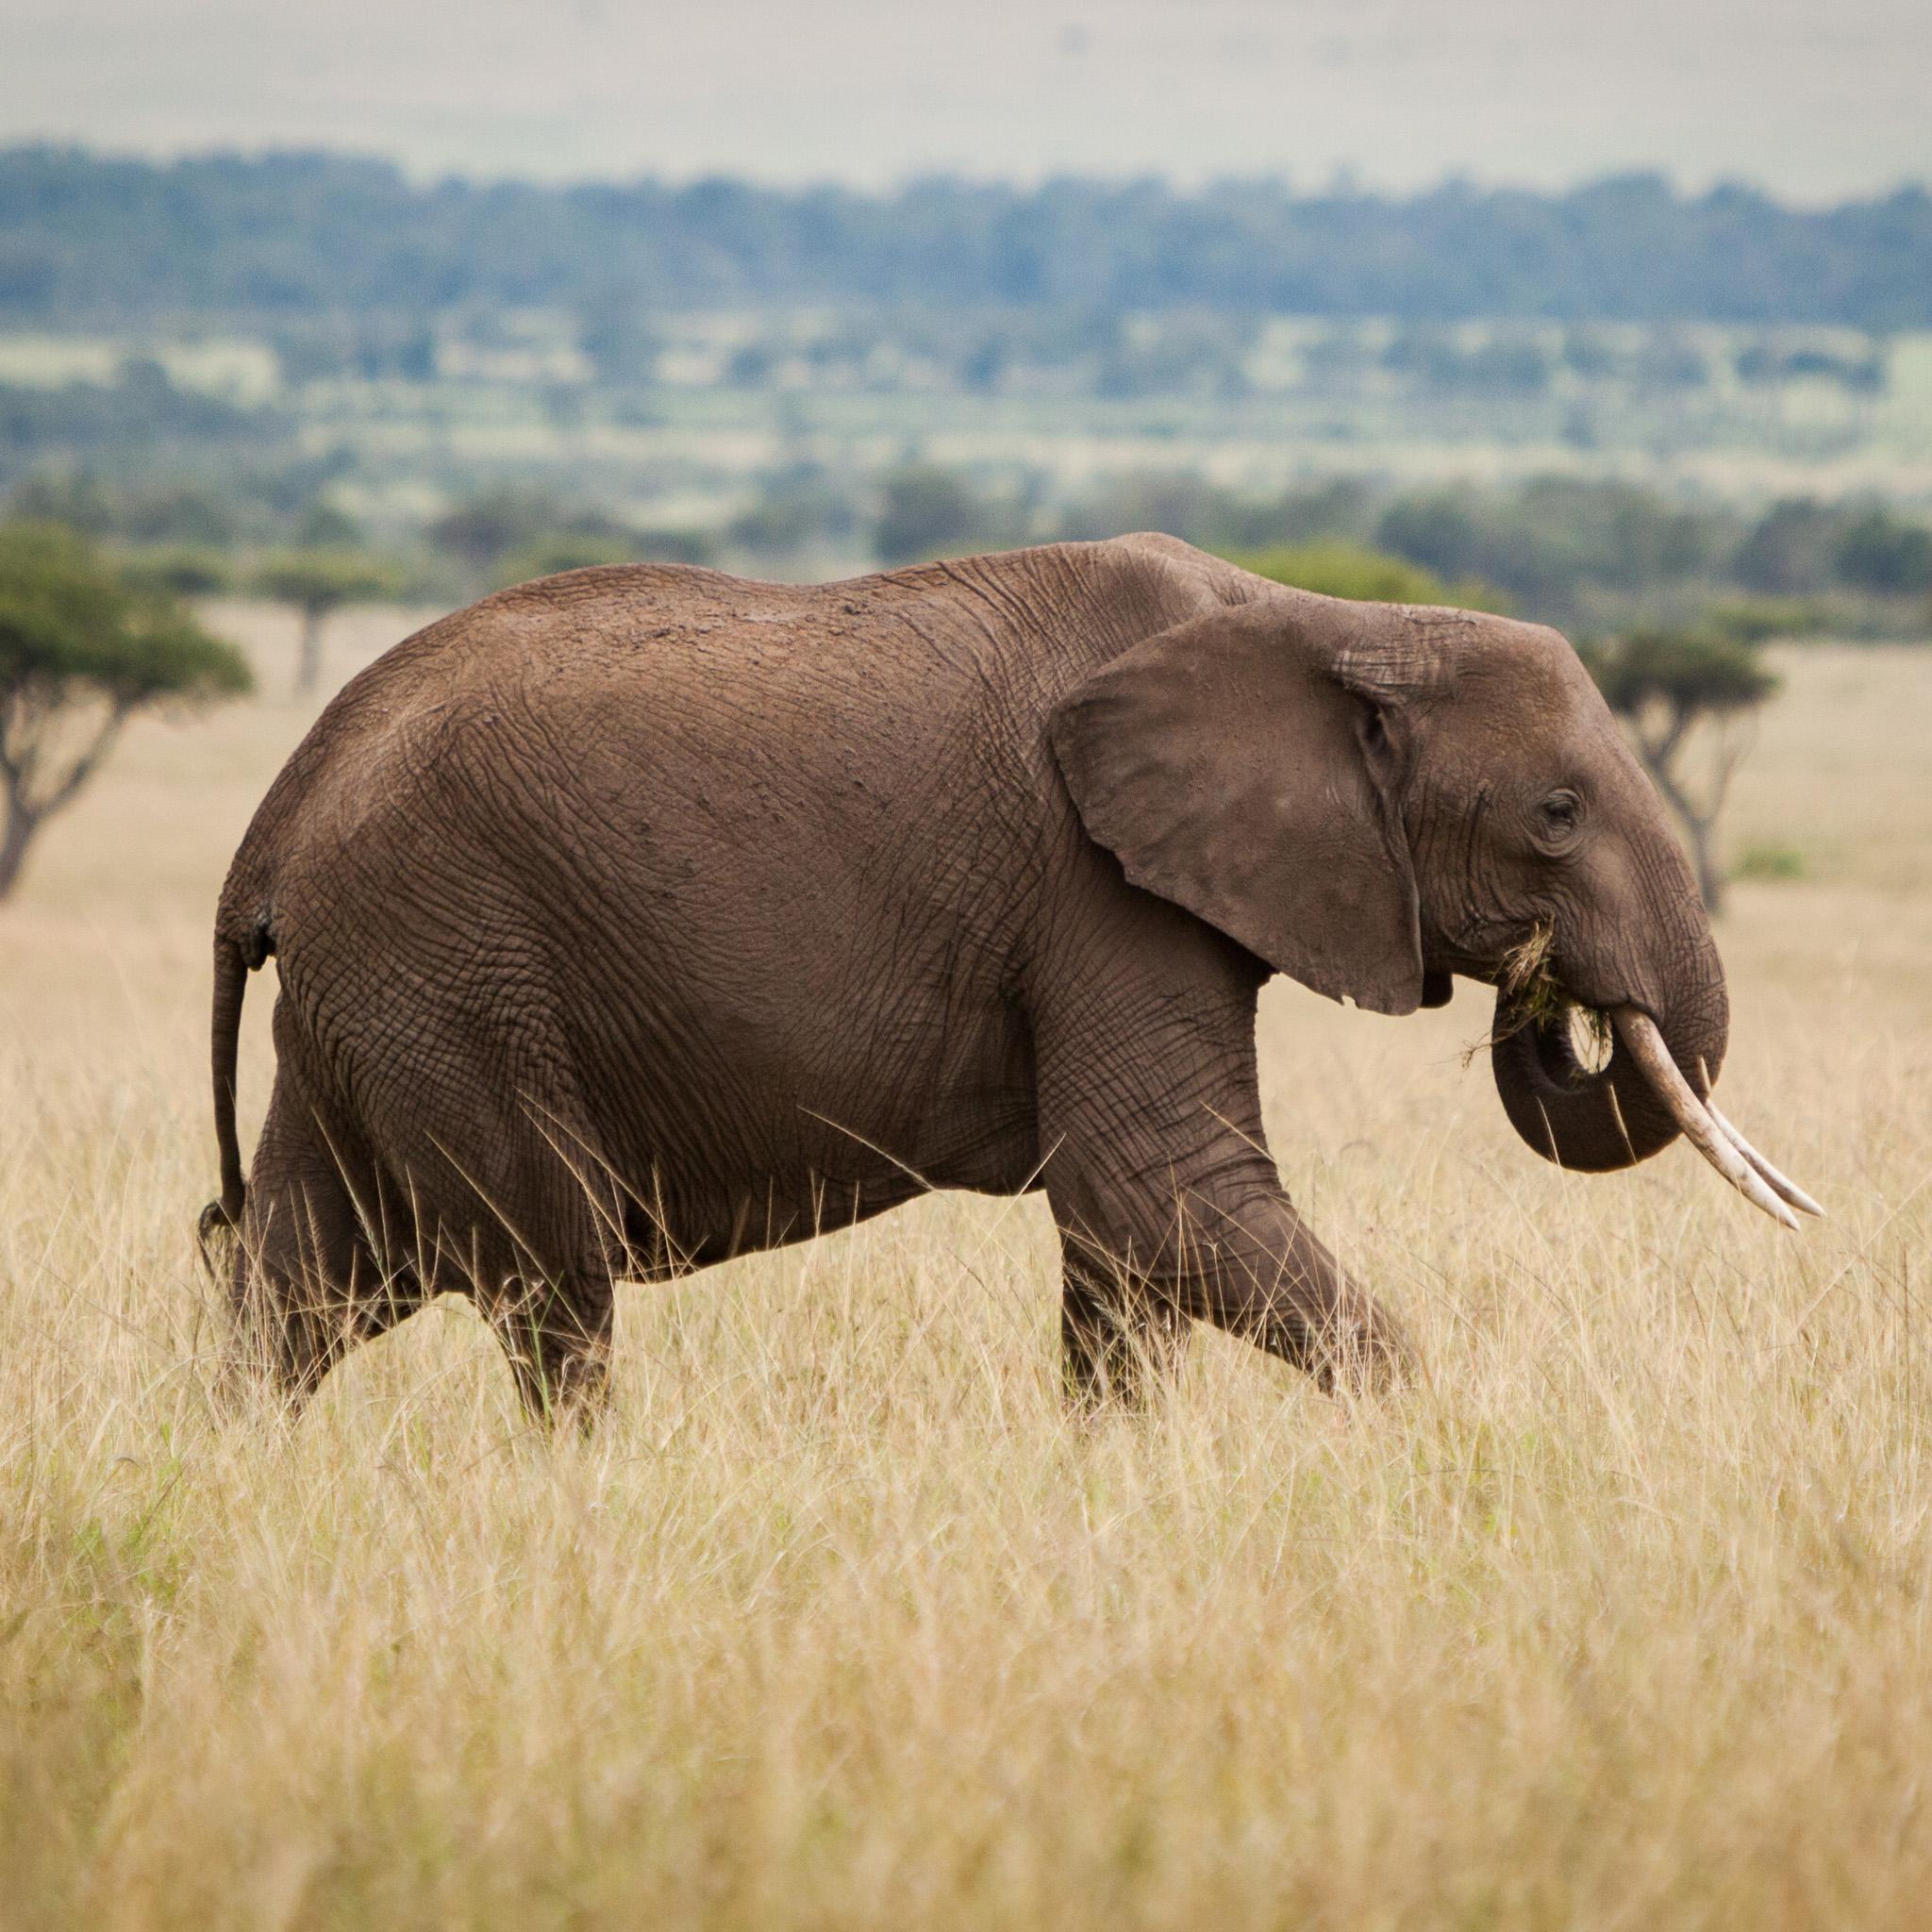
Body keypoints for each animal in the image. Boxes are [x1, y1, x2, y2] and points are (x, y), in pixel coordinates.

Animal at [199, 534, 1817, 1418]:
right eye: (1557, 815)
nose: (1552, 1003)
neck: (1321, 619)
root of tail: (280, 808)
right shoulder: (1092, 884)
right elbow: (1160, 1187)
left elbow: (1125, 1243)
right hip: (449, 959)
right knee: (552, 1276)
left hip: (383, 985)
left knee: (309, 1276)